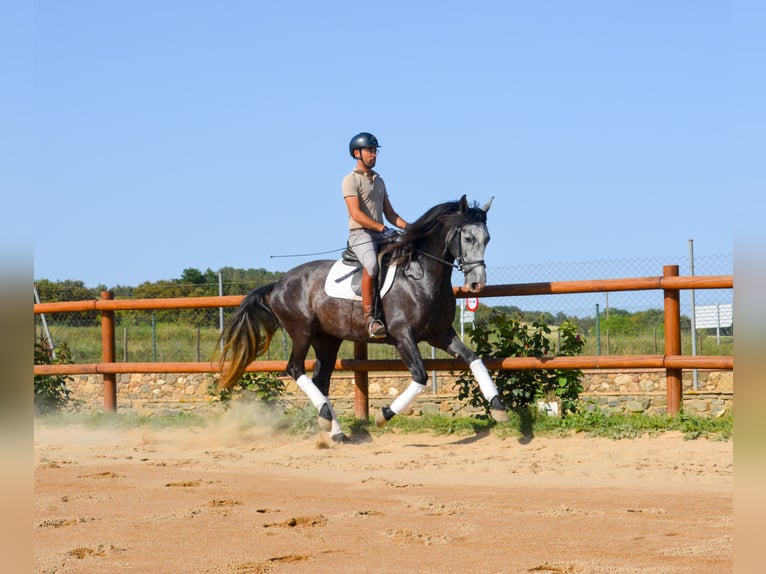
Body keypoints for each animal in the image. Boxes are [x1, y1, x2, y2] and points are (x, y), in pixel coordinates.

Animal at [217, 195, 509, 442]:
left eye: (488, 238)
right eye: (468, 237)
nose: (476, 284)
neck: (422, 277)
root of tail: (277, 284)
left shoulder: (440, 334)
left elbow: (474, 358)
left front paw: (498, 406)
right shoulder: (403, 336)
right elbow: (420, 375)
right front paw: (384, 415)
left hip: (327, 339)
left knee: (320, 380)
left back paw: (334, 430)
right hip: (301, 332)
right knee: (295, 369)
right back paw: (327, 418)